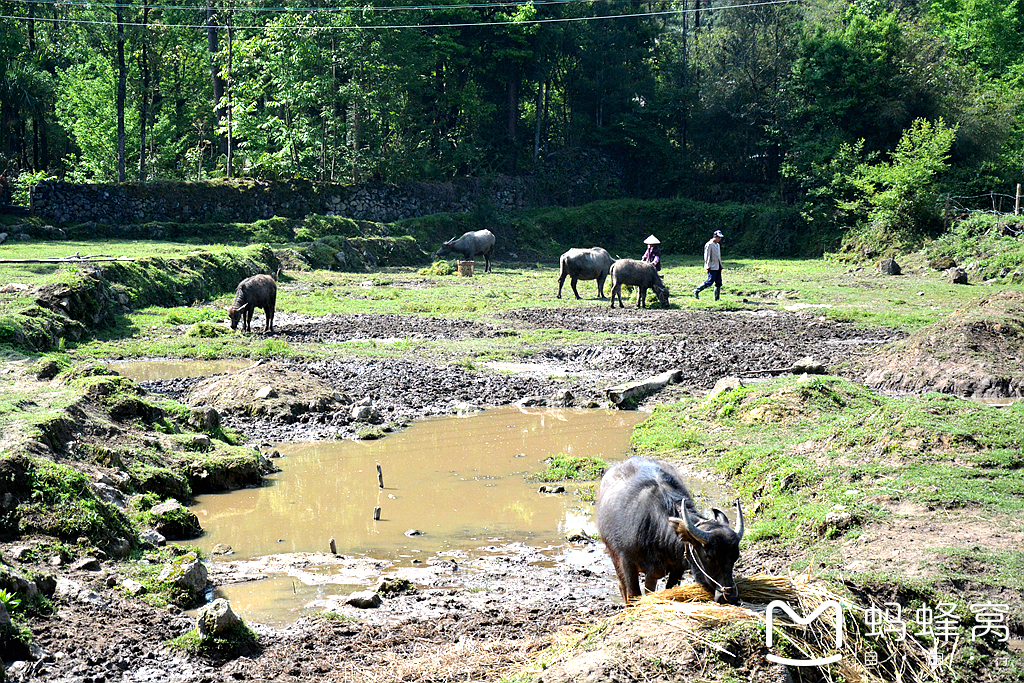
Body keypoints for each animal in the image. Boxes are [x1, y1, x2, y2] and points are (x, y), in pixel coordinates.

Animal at [593, 458, 745, 602]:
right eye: (710, 556)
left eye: (735, 557)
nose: (730, 597)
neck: (655, 534)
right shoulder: (627, 563)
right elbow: (633, 594)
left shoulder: (677, 568)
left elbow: (666, 589)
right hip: (613, 555)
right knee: (621, 585)